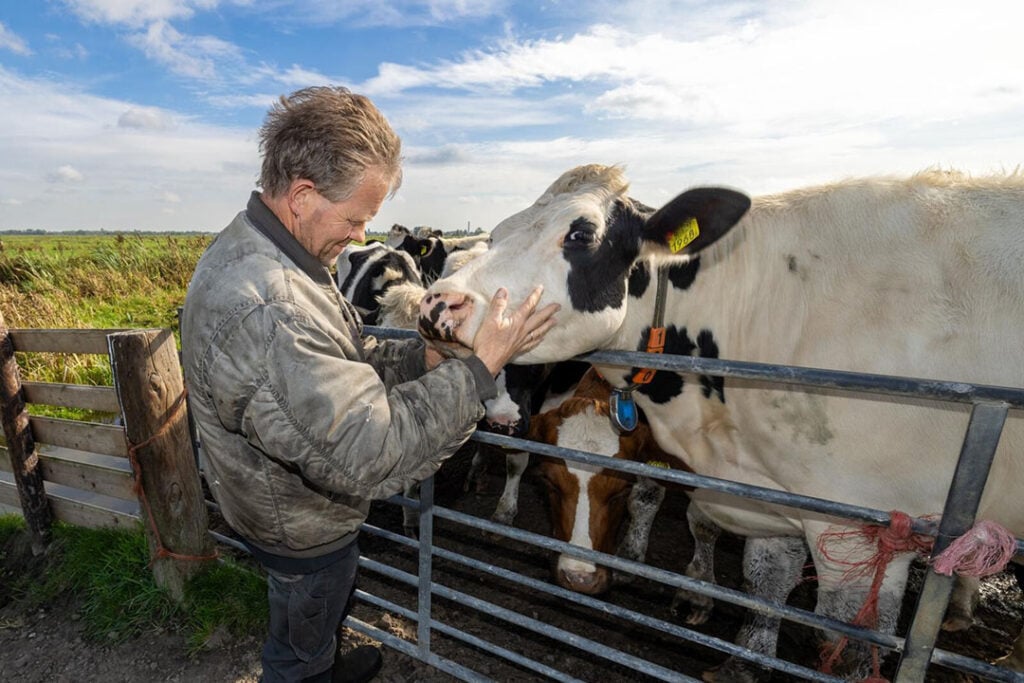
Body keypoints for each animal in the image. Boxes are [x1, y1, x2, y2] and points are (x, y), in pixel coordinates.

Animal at [417, 162, 1024, 679]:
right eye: (498, 232)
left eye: (581, 235)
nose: (437, 304)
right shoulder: (771, 492)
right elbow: (764, 578)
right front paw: (745, 659)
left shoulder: (862, 527)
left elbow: (851, 643)